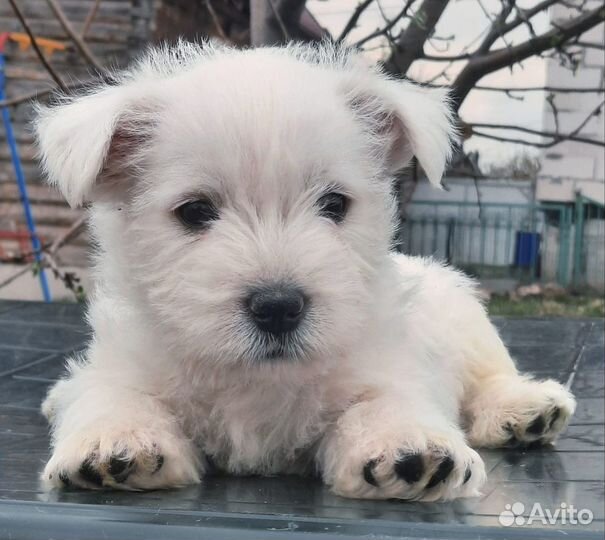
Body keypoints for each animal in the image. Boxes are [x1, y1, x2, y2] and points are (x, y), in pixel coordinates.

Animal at [34, 40, 576, 500]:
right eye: (194, 211)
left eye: (334, 204)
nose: (278, 307)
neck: (257, 377)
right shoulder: (122, 362)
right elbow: (110, 393)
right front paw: (115, 439)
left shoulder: (392, 365)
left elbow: (383, 399)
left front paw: (409, 444)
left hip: (465, 320)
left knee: (491, 375)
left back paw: (526, 409)